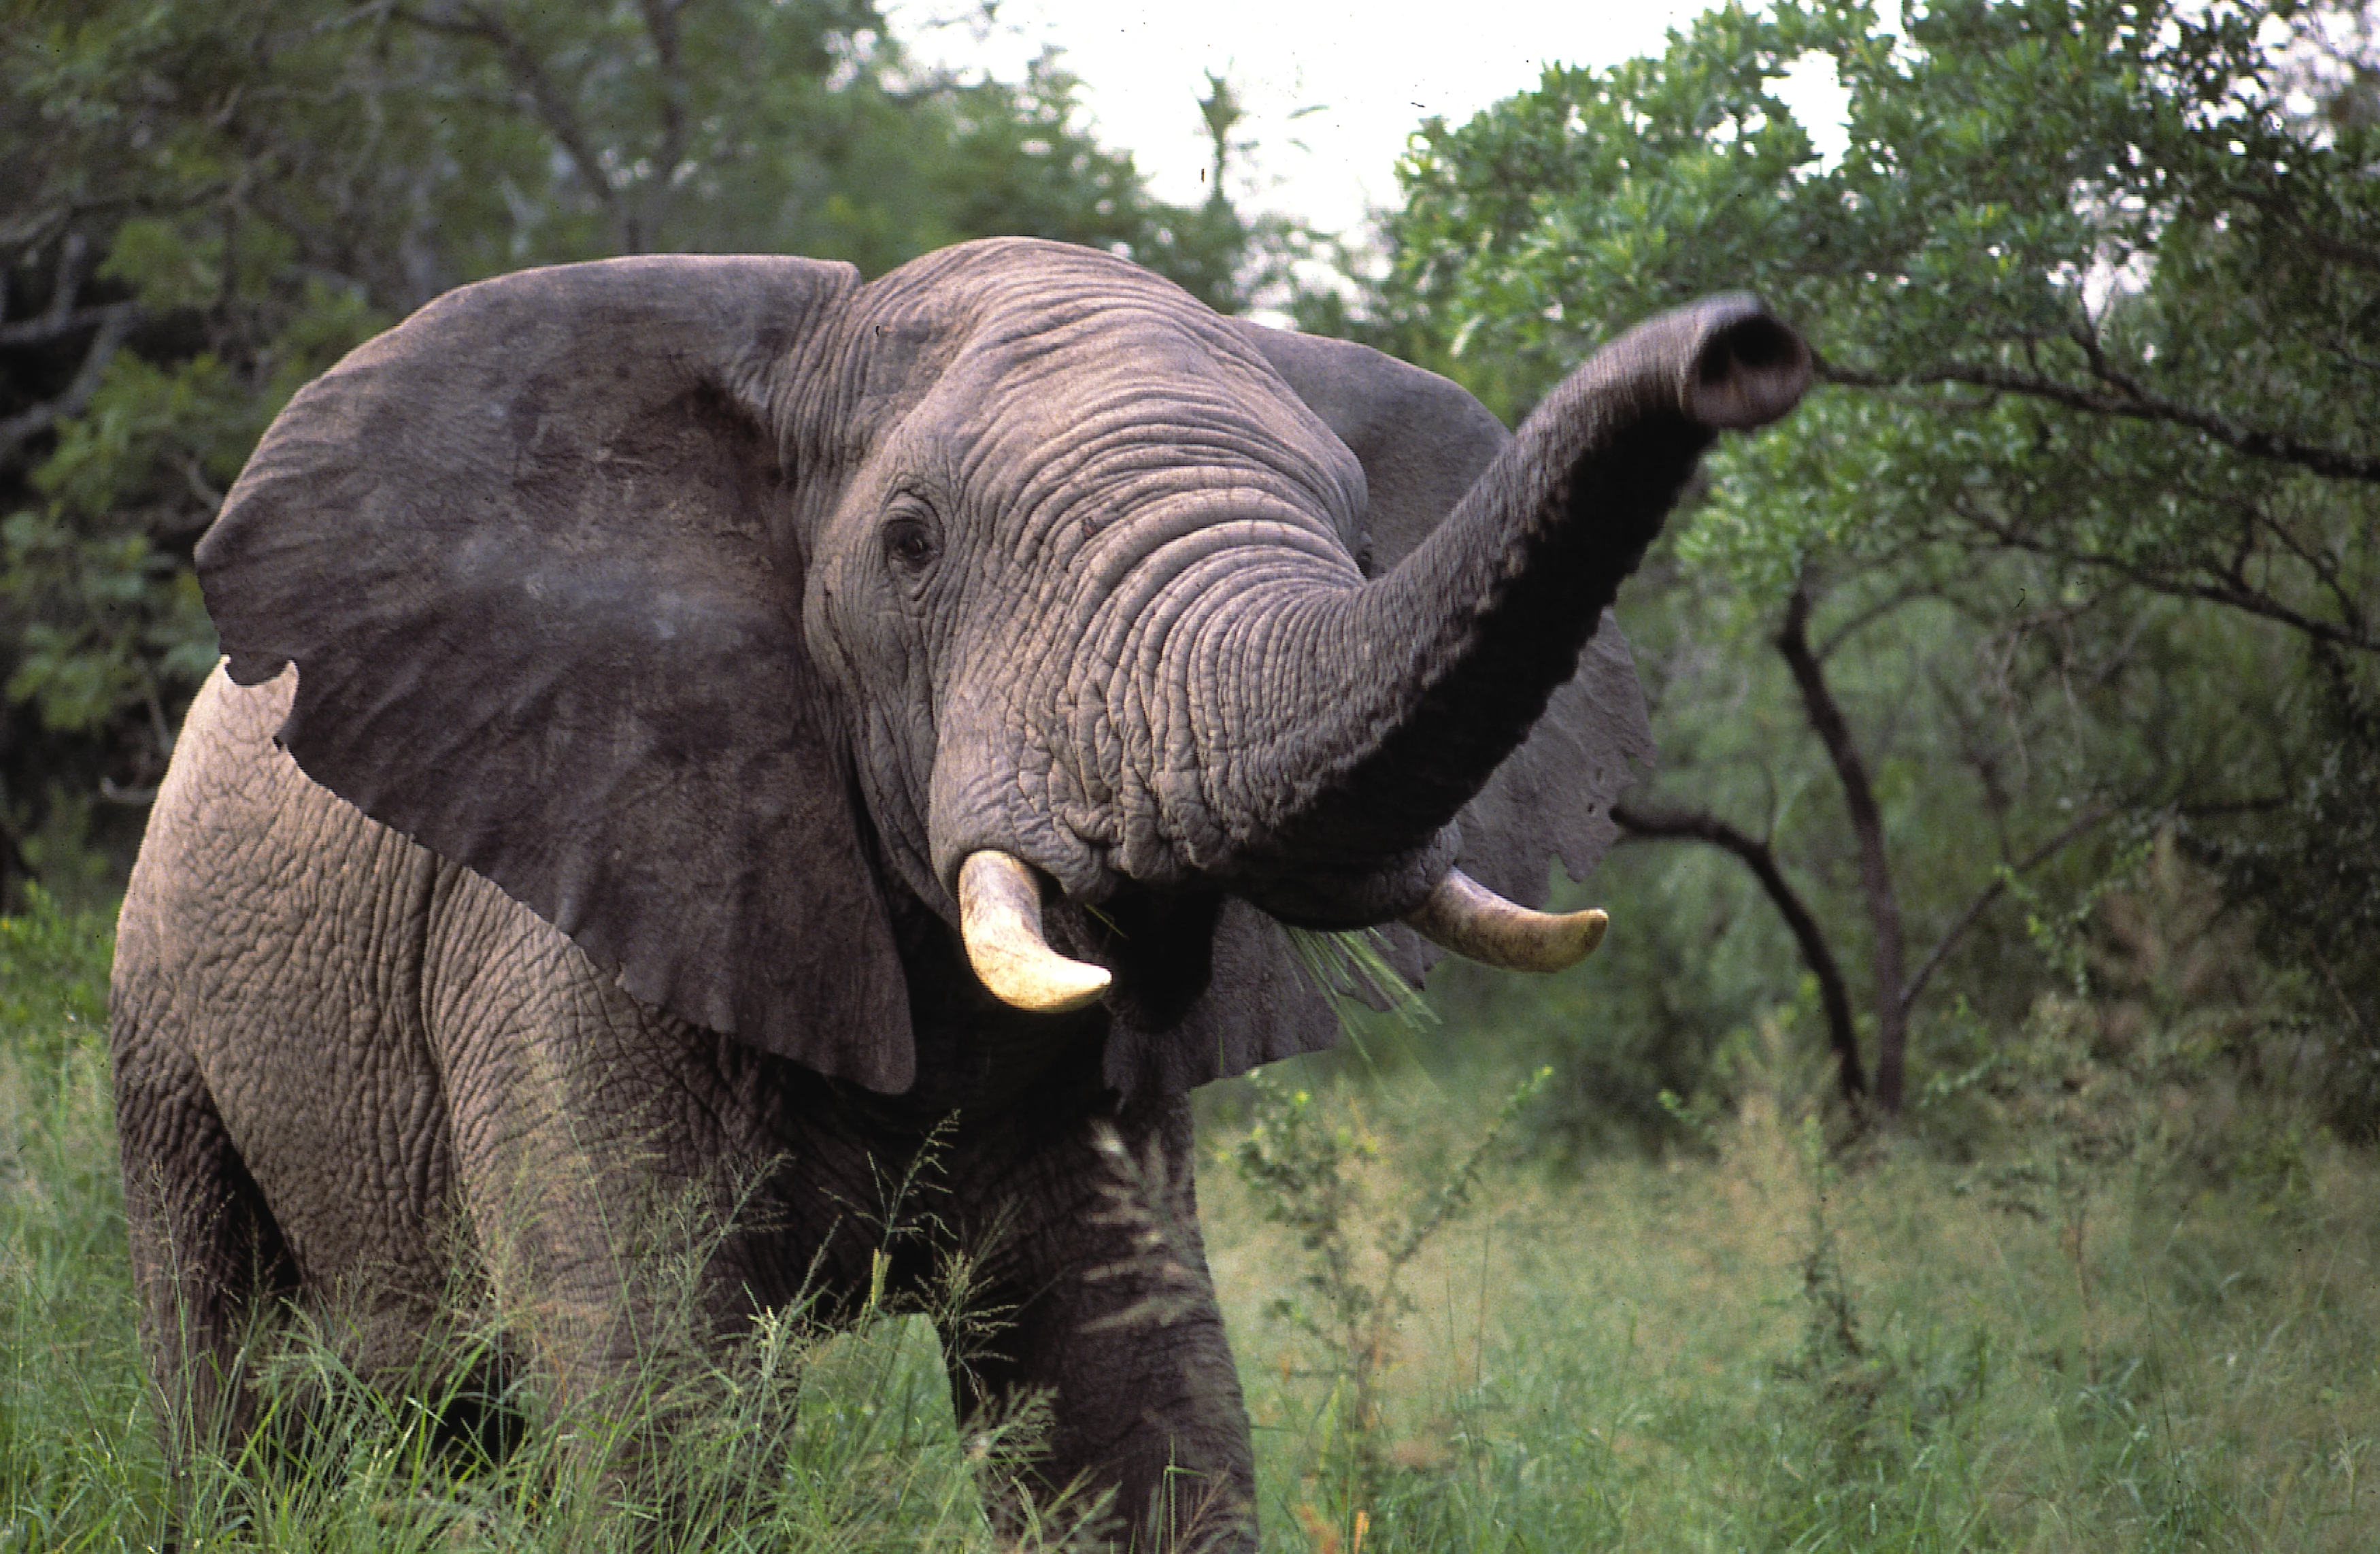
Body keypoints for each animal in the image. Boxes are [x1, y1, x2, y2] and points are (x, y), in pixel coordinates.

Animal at [109, 237, 1808, 1547]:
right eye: (911, 544)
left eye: (1362, 531)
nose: (1751, 346)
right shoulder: (562, 914)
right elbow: (671, 1415)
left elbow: (1130, 1408)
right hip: (159, 1015)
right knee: (234, 1371)